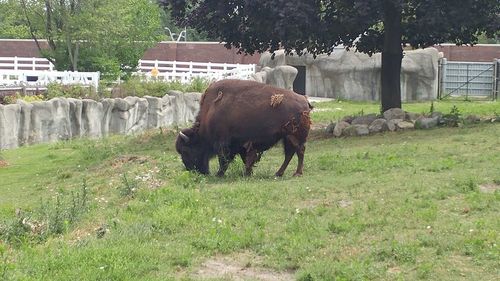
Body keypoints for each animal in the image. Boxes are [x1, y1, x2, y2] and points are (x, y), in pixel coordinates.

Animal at [174, 79, 310, 175]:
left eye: (185, 150)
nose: (191, 170)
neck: (210, 111)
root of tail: (304, 100)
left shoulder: (223, 144)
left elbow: (224, 160)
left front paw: (220, 174)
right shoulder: (243, 145)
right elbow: (245, 159)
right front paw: (248, 173)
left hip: (294, 136)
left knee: (299, 151)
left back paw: (297, 173)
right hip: (287, 137)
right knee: (290, 154)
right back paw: (278, 173)